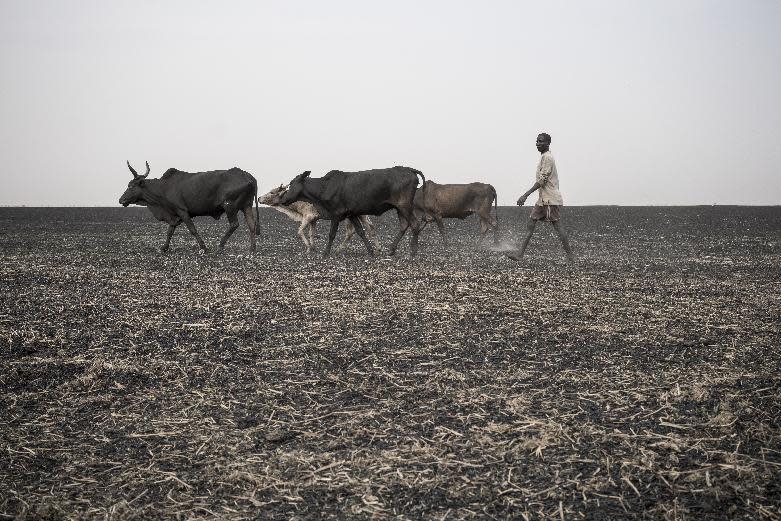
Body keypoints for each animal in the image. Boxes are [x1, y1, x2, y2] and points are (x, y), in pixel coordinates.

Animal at [118, 161, 258, 253]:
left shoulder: (182, 211)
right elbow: (170, 231)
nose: (121, 200)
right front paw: (164, 247)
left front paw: (203, 247)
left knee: (234, 224)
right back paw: (252, 249)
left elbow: (192, 229)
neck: (163, 188)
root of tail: (248, 176)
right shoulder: (174, 214)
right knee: (252, 225)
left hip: (229, 206)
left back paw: (220, 245)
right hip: (247, 206)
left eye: (131, 186)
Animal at [276, 166, 426, 256]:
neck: (324, 187)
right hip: (399, 208)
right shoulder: (351, 213)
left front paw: (326, 253)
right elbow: (360, 231)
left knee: (414, 224)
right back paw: (392, 250)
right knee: (404, 225)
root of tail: (409, 169)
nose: (282, 199)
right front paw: (371, 251)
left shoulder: (336, 213)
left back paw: (413, 251)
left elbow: (332, 234)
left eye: (291, 184)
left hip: (404, 205)